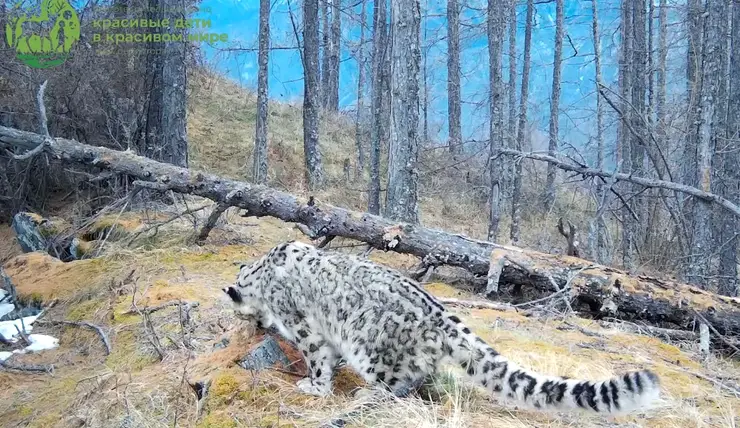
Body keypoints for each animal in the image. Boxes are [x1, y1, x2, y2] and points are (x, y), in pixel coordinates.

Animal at [223, 239, 660, 412]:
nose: (255, 327)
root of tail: (442, 318)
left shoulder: (305, 328)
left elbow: (317, 358)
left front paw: (314, 386)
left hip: (372, 347)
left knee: (395, 383)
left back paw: (369, 395)